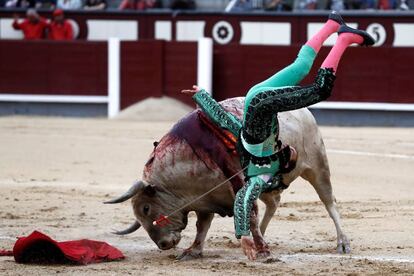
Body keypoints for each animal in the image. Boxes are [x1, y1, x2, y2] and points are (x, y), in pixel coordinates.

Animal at [104, 96, 350, 258]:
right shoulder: (204, 200)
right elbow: (202, 226)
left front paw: (263, 253)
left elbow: (249, 216)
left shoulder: (239, 186)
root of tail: (304, 112)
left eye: (146, 208)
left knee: (330, 203)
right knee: (274, 202)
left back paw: (343, 243)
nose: (163, 244)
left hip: (318, 166)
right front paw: (193, 251)